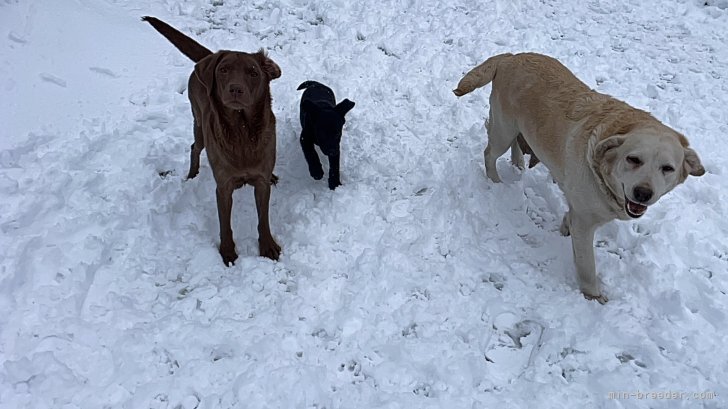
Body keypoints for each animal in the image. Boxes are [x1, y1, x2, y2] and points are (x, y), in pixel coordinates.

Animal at [143, 16, 282, 264]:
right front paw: (227, 251)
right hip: (199, 125)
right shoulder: (224, 187)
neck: (242, 132)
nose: (235, 89)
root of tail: (207, 57)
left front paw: (267, 245)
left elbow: (263, 219)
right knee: (194, 147)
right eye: (224, 70)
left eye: (253, 72)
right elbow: (224, 224)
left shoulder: (261, 183)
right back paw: (192, 174)